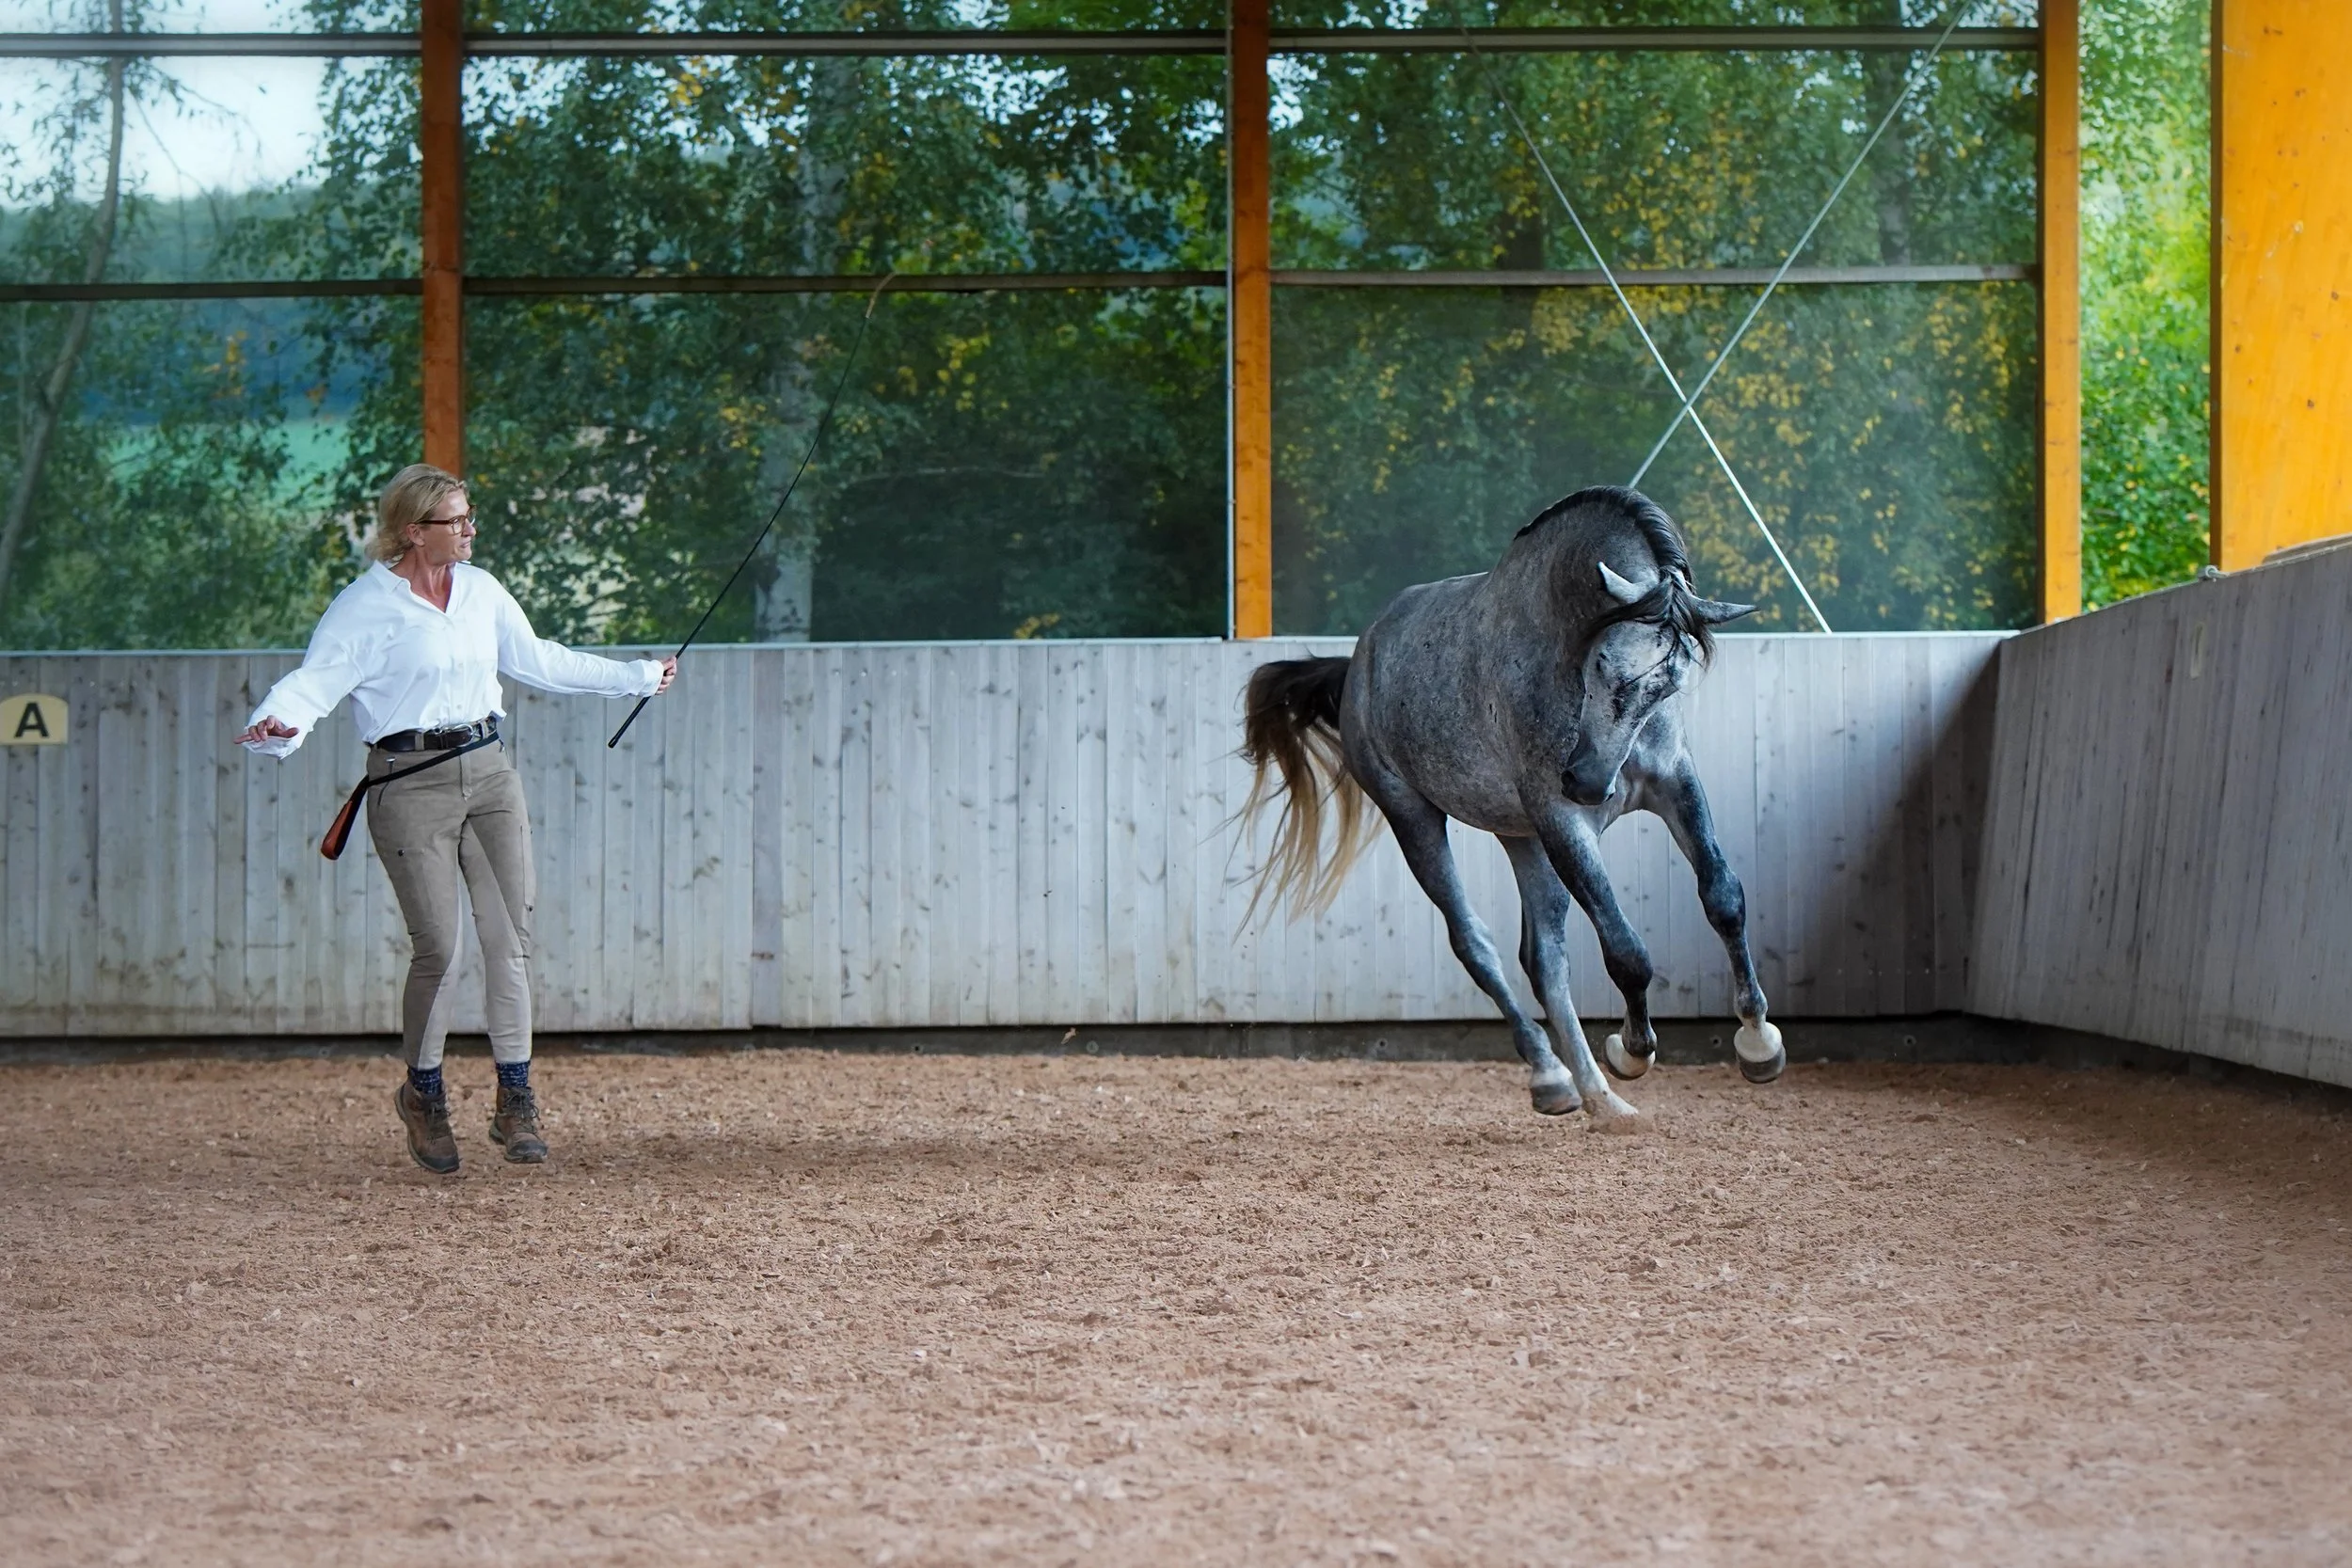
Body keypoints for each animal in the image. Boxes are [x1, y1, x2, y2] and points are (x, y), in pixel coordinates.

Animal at [1240, 485, 1785, 1128]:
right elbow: (1626, 951)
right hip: (1416, 818)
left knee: (1543, 959)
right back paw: (1554, 1076)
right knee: (1476, 943)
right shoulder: (1563, 820)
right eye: (1603, 662)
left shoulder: (1674, 784)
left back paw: (1599, 1098)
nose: (1589, 782)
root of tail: (1358, 666)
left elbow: (1723, 896)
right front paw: (1632, 1051)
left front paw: (1759, 1044)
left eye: (1671, 682)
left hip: (1523, 838)